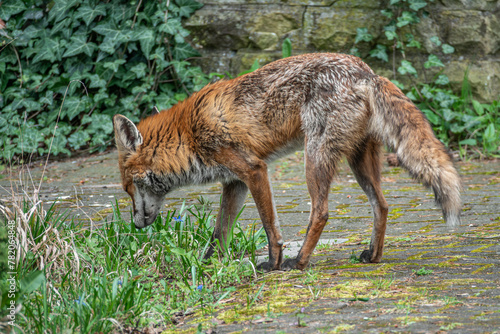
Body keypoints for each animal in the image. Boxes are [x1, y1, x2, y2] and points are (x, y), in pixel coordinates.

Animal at [113, 52, 460, 272]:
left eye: (128, 188)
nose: (136, 225)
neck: (188, 133)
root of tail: (366, 72)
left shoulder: (254, 170)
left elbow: (270, 226)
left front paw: (274, 263)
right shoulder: (234, 182)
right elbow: (219, 233)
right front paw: (206, 266)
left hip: (315, 157)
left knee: (321, 212)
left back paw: (300, 262)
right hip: (359, 161)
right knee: (382, 205)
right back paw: (373, 255)